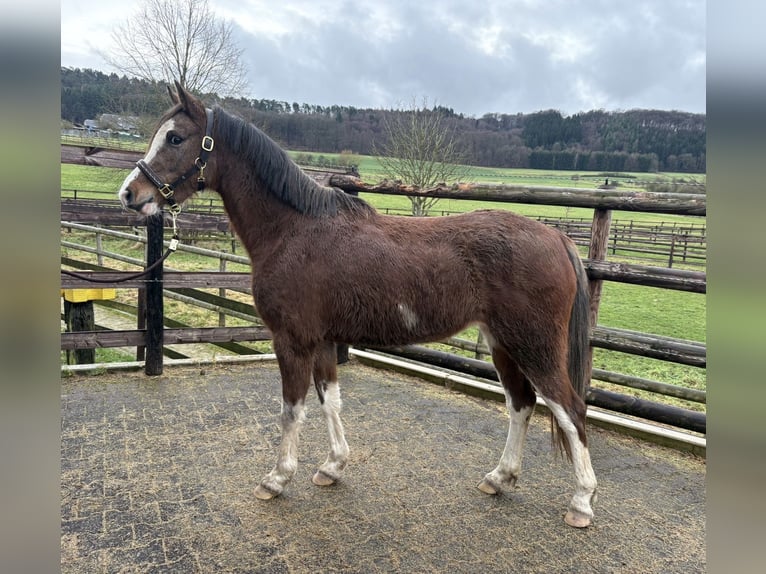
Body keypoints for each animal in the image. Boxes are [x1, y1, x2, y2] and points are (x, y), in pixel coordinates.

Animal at [118, 82, 598, 528]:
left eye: (175, 138)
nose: (130, 194)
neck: (295, 230)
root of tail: (556, 237)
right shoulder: (324, 341)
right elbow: (330, 401)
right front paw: (332, 467)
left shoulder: (292, 341)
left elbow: (291, 410)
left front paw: (276, 479)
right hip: (503, 344)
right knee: (522, 404)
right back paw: (499, 478)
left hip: (534, 346)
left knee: (569, 410)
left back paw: (581, 503)